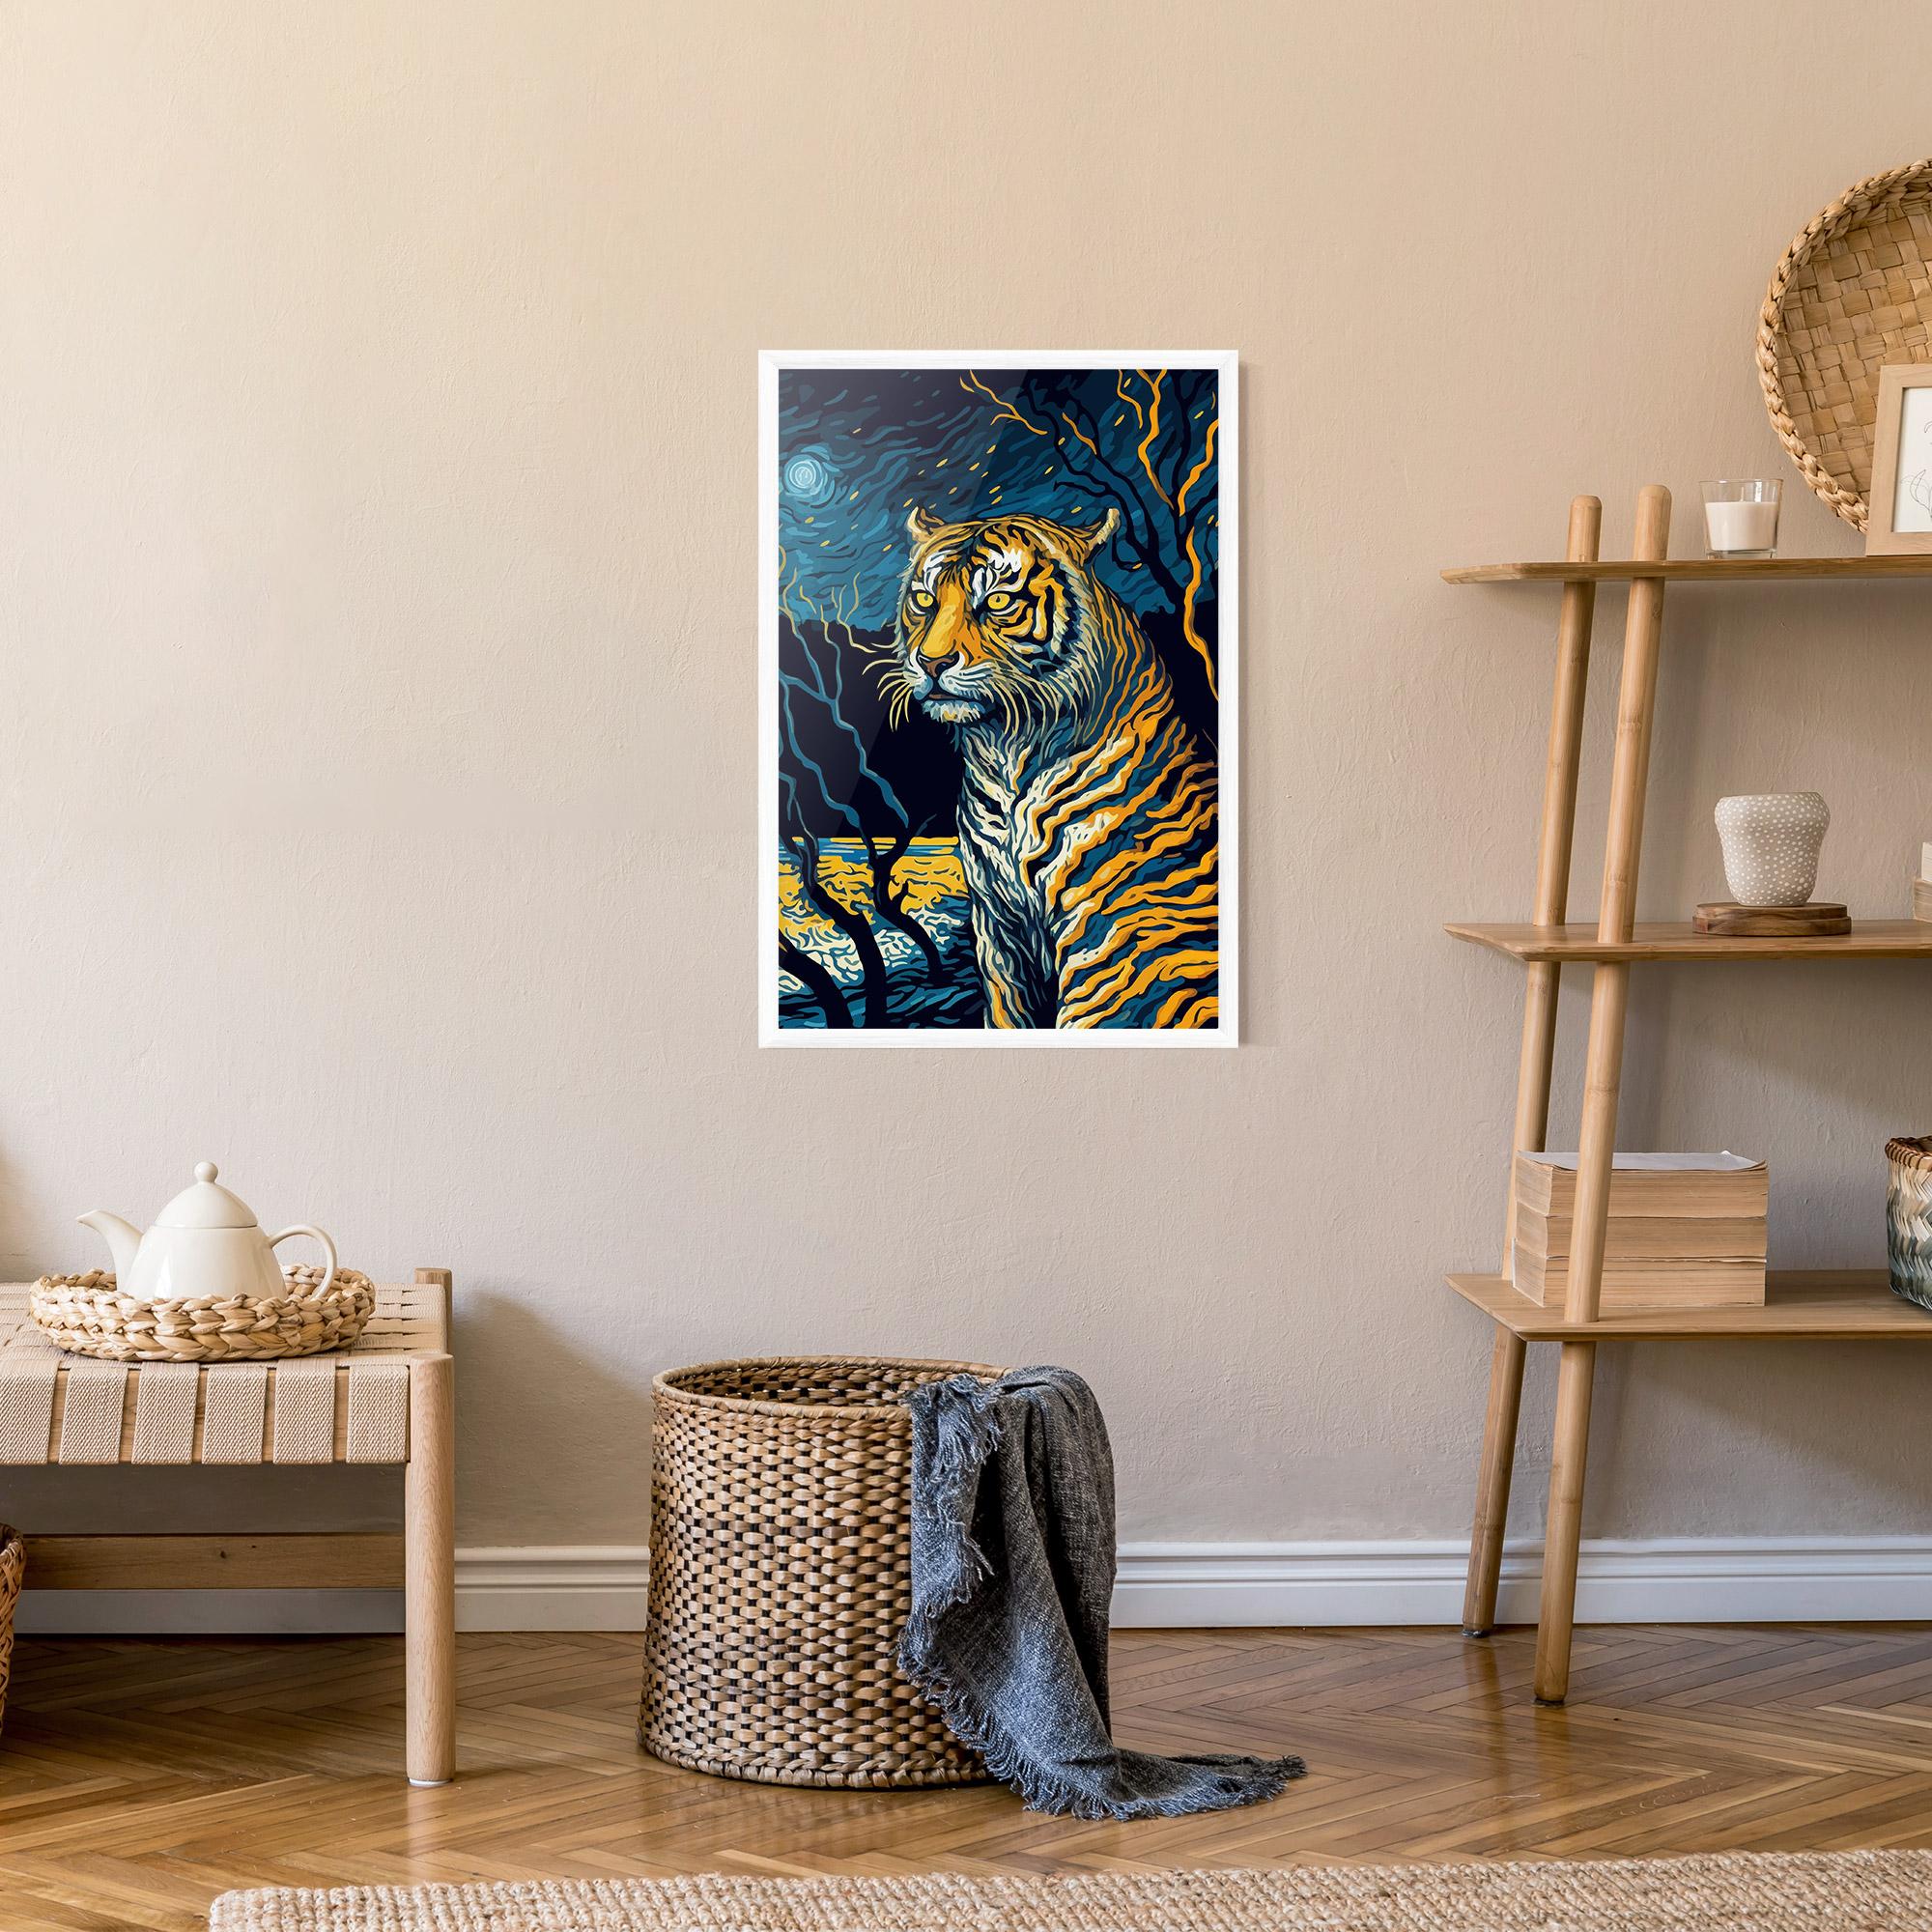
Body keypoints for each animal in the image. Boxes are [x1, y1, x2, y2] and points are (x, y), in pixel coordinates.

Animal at [881, 505, 1219, 1030]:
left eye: (997, 601)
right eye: (924, 601)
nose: (932, 662)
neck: (1003, 755)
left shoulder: (1101, 926)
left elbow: (1090, 1011)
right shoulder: (998, 923)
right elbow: (1006, 1011)